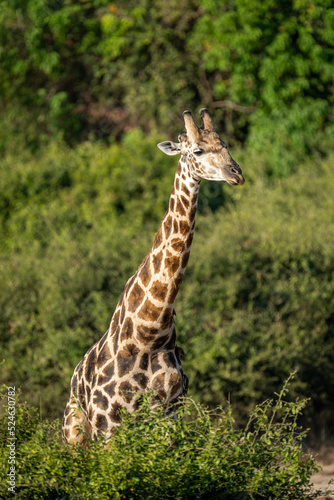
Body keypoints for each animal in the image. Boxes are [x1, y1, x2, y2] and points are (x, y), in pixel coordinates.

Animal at [61, 108, 244, 442]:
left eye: (224, 144)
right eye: (197, 151)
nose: (236, 173)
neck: (148, 333)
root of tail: (74, 376)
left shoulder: (168, 417)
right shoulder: (108, 428)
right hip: (75, 431)